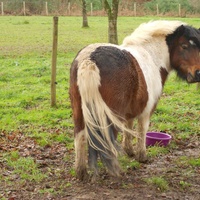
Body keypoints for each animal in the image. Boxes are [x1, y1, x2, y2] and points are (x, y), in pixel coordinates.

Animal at [69, 20, 200, 181]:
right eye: (184, 46)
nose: (198, 73)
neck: (151, 56)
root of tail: (89, 59)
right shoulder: (147, 110)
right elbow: (142, 130)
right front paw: (141, 156)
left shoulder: (129, 111)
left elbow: (129, 127)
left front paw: (129, 151)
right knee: (108, 140)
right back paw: (116, 171)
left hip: (79, 112)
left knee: (79, 137)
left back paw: (81, 172)